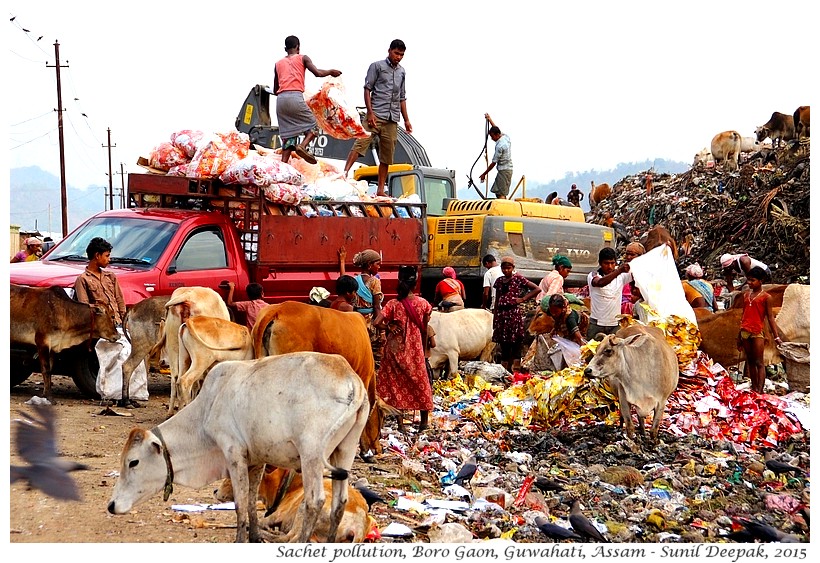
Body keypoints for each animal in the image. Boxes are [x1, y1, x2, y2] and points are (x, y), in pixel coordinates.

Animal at [218, 464, 372, 544]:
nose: (215, 491)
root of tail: (360, 523)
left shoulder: (277, 515)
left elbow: (262, 522)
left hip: (304, 508)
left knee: (290, 538)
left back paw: (263, 534)